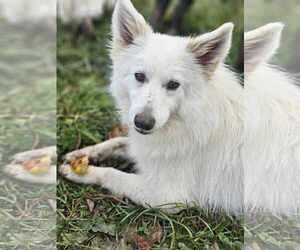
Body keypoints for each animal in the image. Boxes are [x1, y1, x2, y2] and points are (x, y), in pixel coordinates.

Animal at [59, 0, 245, 214]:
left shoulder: (168, 197)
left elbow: (113, 174)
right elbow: (117, 142)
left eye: (173, 84)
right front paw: (83, 153)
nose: (143, 123)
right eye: (139, 76)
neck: (191, 119)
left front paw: (83, 172)